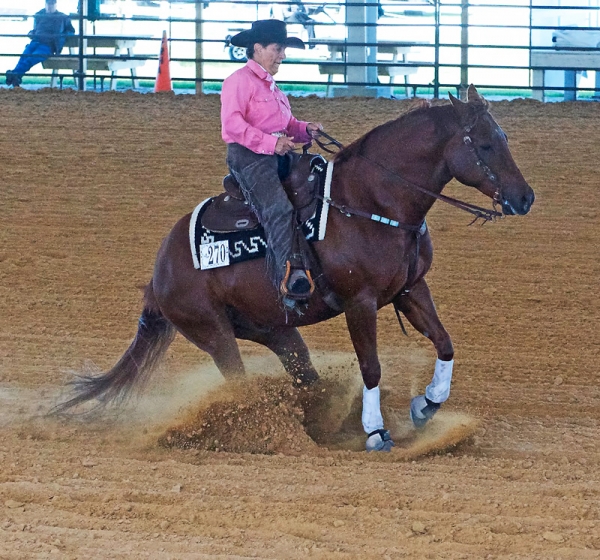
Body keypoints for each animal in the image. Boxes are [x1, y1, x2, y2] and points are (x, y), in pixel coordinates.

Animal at [57, 88, 536, 456]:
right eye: (486, 145)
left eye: (505, 138)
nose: (525, 197)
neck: (372, 199)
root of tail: (159, 274)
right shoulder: (359, 302)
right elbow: (371, 367)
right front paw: (376, 433)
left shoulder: (411, 289)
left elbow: (445, 343)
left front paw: (426, 406)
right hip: (213, 332)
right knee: (240, 386)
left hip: (276, 330)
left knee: (303, 375)